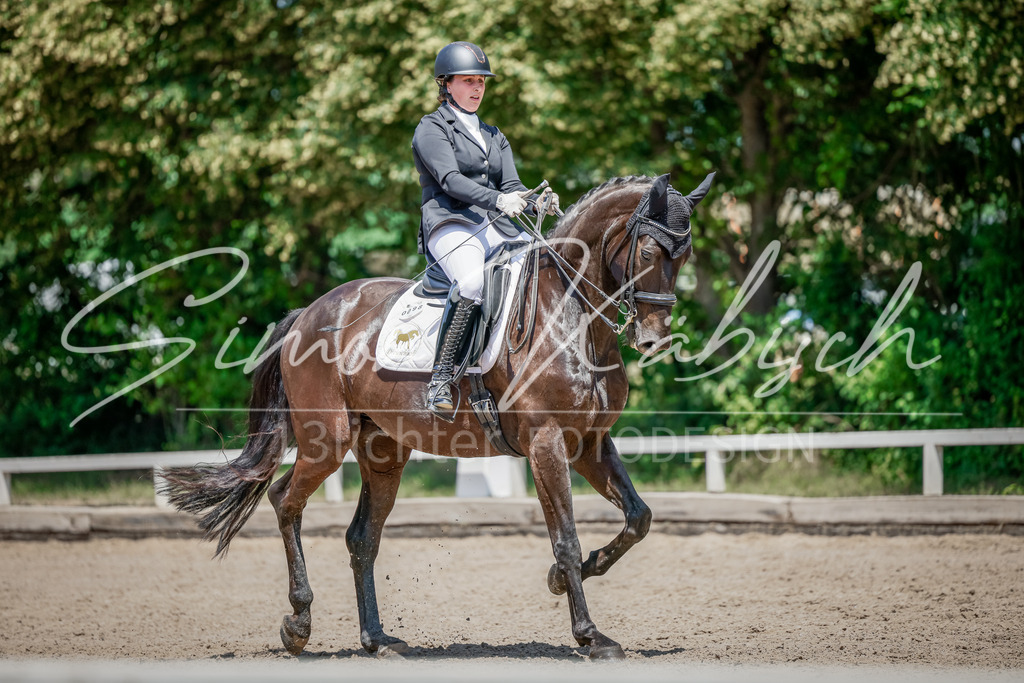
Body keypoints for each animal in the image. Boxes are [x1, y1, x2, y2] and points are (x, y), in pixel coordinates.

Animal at [160, 171, 714, 660]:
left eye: (685, 256)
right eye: (649, 253)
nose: (653, 340)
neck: (571, 314)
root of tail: (310, 313)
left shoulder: (589, 443)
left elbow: (638, 517)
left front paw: (569, 576)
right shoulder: (547, 443)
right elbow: (566, 537)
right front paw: (590, 635)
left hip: (383, 452)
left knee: (361, 538)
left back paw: (377, 641)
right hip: (325, 442)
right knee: (284, 501)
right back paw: (298, 624)